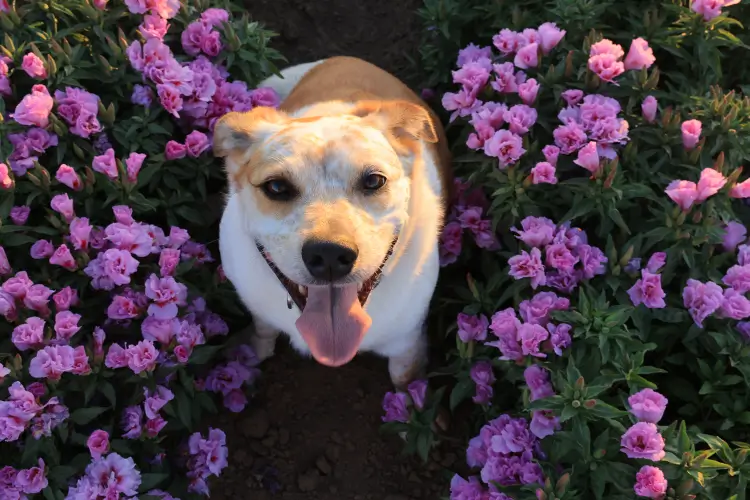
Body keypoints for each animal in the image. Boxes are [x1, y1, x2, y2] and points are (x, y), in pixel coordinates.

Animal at [214, 55, 456, 390]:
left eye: (374, 180)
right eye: (276, 187)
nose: (329, 254)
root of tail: (348, 58)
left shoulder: (406, 341)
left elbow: (403, 379)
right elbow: (263, 330)